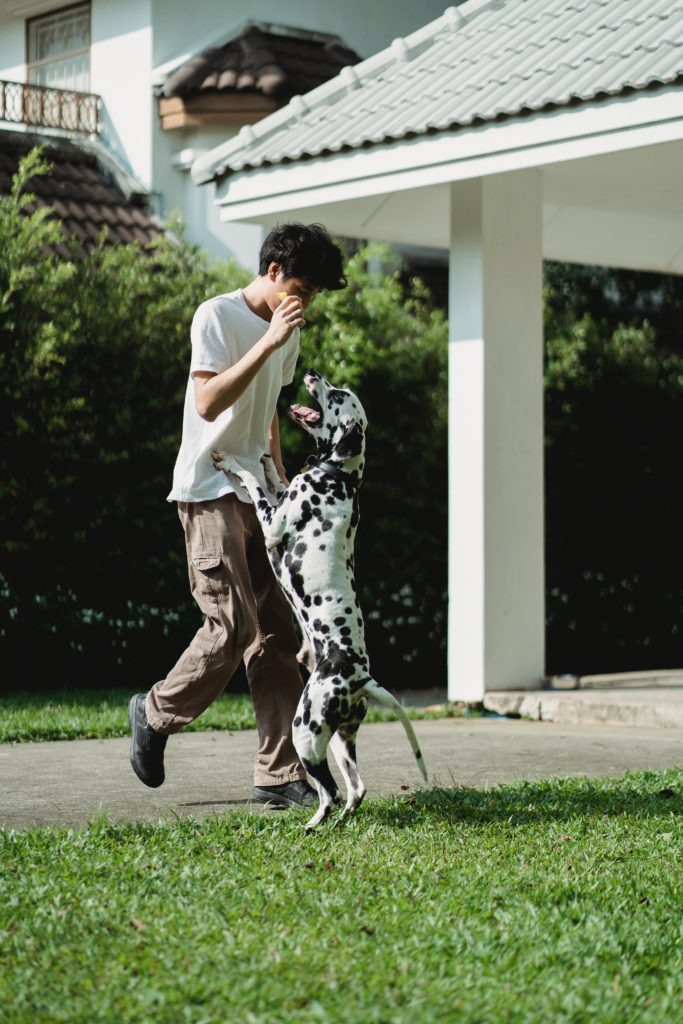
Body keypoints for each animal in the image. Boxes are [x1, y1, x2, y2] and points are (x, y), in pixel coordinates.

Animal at [214, 368, 428, 831]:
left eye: (339, 393)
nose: (312, 374)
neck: (339, 478)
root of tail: (361, 677)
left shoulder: (272, 523)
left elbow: (254, 484)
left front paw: (233, 462)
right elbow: (273, 478)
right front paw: (267, 461)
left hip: (305, 733)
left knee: (329, 792)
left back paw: (313, 826)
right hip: (339, 741)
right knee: (356, 789)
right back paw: (343, 819)